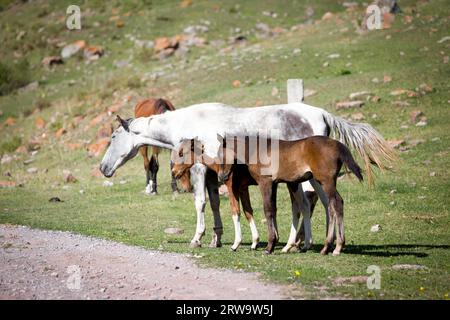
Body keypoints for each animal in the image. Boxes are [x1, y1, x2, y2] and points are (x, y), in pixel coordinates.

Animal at [99, 102, 394, 252]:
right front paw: (217, 238)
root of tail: (322, 113)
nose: (103, 168)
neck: (186, 125)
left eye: (113, 137)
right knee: (318, 203)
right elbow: (216, 204)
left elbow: (200, 204)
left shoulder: (199, 172)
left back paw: (309, 243)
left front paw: (198, 238)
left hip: (312, 178)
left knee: (318, 202)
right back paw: (308, 243)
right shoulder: (214, 175)